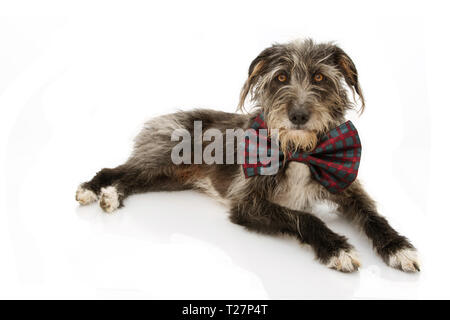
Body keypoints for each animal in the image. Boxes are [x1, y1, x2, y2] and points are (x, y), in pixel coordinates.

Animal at [76, 37, 418, 272]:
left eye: (320, 77)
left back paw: (112, 196)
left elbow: (372, 215)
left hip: (171, 178)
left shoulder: (344, 179)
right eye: (281, 77)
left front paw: (398, 247)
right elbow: (302, 216)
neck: (299, 152)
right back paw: (93, 190)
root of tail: (166, 116)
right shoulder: (247, 202)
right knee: (116, 171)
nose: (298, 116)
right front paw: (336, 247)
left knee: (133, 180)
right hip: (163, 158)